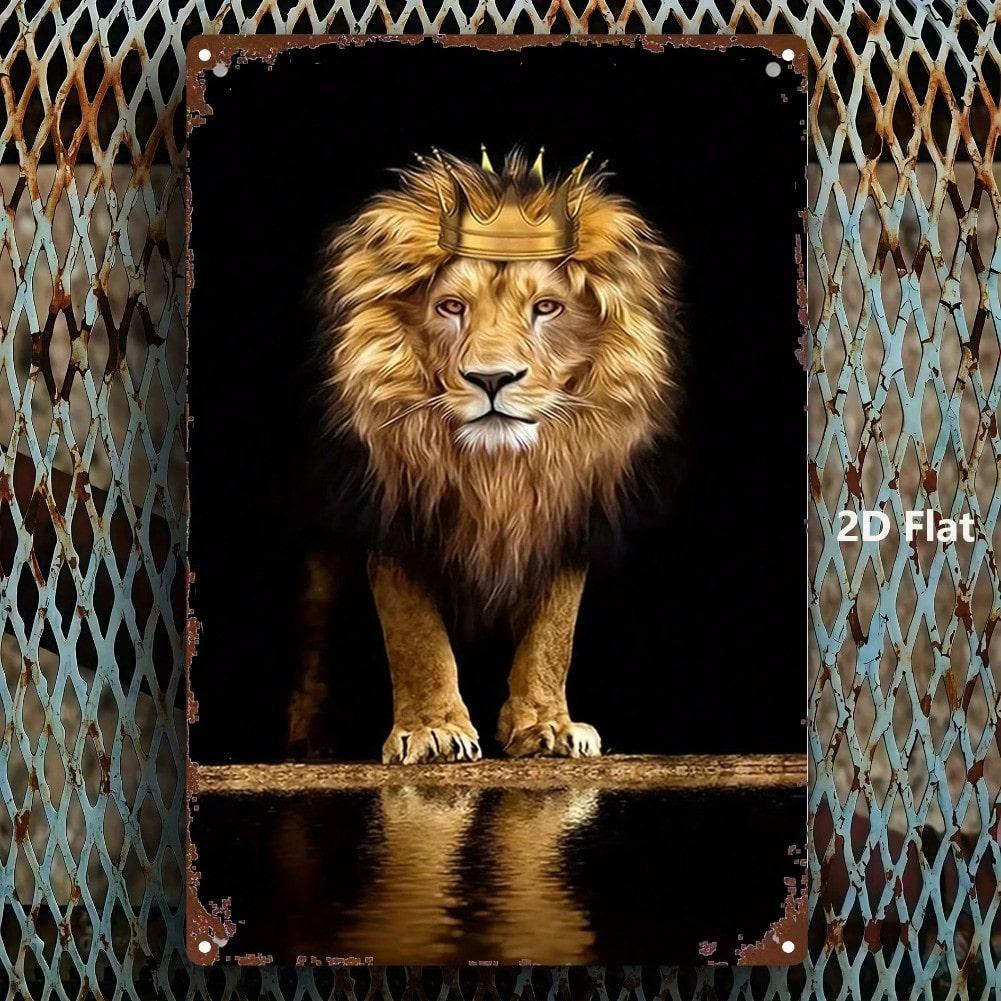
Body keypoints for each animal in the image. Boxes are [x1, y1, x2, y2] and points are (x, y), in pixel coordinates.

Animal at [317, 149, 681, 764]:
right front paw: (433, 728)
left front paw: (546, 725)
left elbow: (554, 631)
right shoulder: (393, 512)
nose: (492, 379)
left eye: (547, 307)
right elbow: (413, 631)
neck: (497, 471)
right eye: (450, 306)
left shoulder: (566, 512)